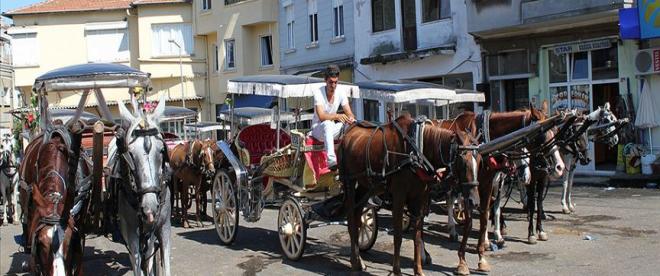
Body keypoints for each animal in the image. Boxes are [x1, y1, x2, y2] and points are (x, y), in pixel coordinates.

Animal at [107, 95, 171, 276]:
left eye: (162, 151)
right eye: (130, 154)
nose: (149, 209)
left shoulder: (163, 227)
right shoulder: (131, 234)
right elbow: (137, 264)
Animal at [340, 114, 480, 276]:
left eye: (480, 161)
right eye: (463, 162)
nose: (474, 201)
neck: (416, 150)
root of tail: (348, 133)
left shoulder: (419, 198)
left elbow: (417, 236)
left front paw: (418, 270)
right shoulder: (399, 197)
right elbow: (398, 236)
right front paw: (397, 271)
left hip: (366, 186)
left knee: (357, 217)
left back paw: (359, 260)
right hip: (350, 183)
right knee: (351, 220)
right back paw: (355, 262)